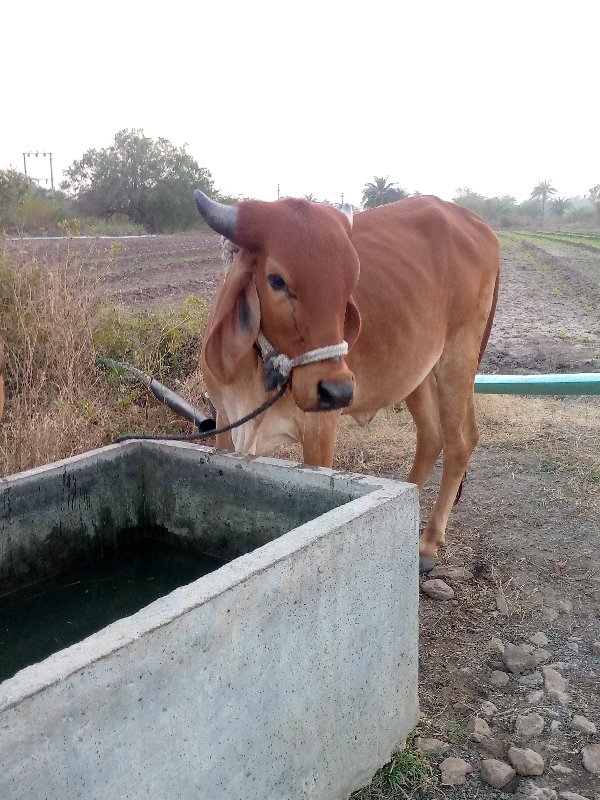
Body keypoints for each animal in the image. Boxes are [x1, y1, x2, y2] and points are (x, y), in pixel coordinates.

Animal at [195, 192, 500, 556]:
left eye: (350, 282)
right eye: (277, 280)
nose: (336, 391)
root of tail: (479, 224)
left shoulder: (320, 430)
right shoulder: (226, 418)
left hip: (459, 355)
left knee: (459, 443)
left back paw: (427, 542)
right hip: (419, 371)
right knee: (432, 437)